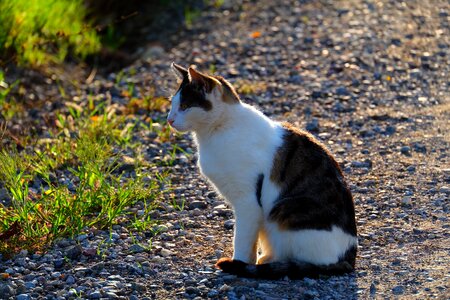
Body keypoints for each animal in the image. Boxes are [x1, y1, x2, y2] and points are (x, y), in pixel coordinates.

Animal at [167, 62, 356, 278]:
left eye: (184, 106)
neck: (218, 130)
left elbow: (242, 238)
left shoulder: (248, 202)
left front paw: (238, 263)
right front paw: (246, 262)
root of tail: (349, 258)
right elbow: (251, 241)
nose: (169, 120)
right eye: (172, 105)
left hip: (284, 210)